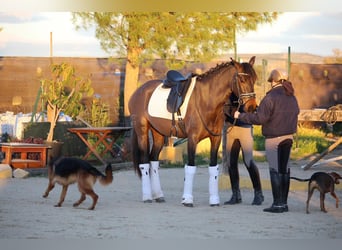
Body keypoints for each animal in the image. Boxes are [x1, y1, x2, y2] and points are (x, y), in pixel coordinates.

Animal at [128, 56, 256, 207]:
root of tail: (138, 91)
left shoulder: (215, 139)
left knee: (153, 162)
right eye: (241, 80)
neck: (206, 100)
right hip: (142, 131)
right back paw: (147, 196)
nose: (252, 107)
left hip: (158, 134)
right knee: (144, 163)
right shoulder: (192, 139)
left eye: (254, 79)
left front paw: (214, 200)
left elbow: (213, 168)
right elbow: (190, 167)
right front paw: (187, 199)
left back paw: (158, 195)